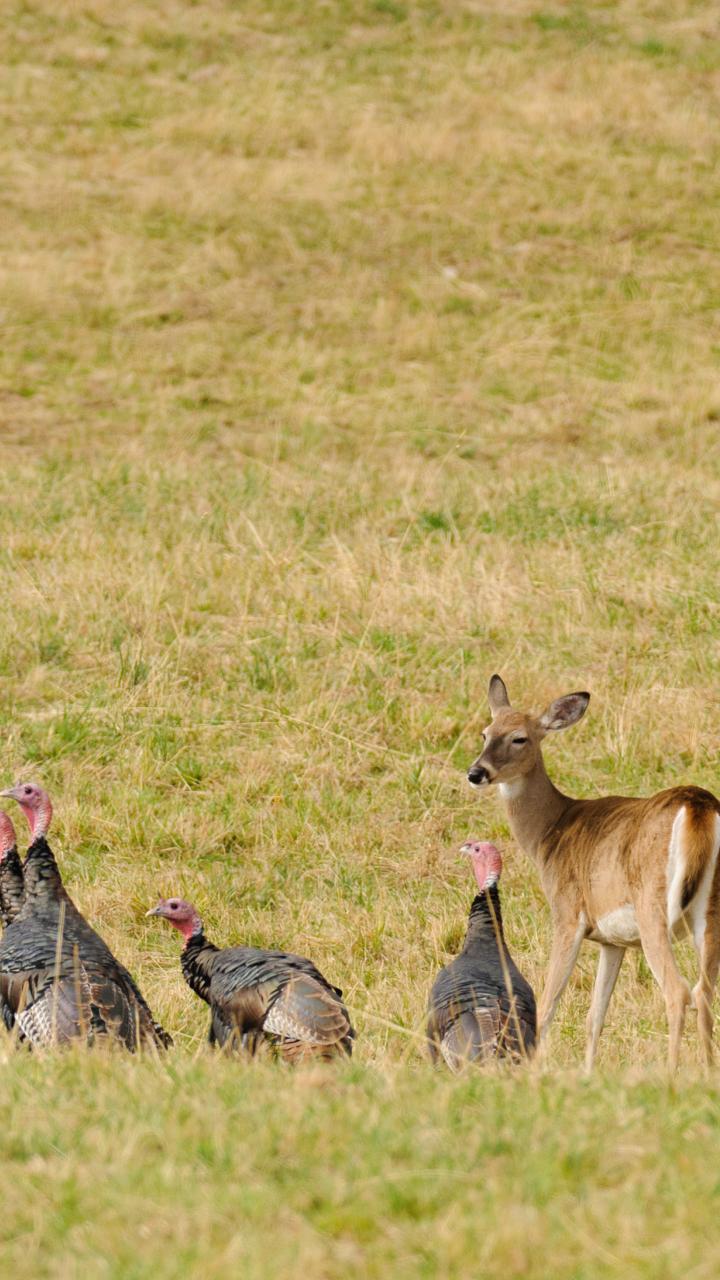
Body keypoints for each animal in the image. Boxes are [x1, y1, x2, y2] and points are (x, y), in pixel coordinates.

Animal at [467, 675, 720, 1072]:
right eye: (485, 733)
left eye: (519, 738)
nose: (476, 773)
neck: (551, 832)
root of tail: (699, 806)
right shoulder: (612, 940)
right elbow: (595, 1015)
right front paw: (587, 1072)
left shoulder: (568, 913)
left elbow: (548, 1003)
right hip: (711, 910)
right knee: (704, 992)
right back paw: (708, 1070)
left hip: (653, 906)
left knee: (678, 991)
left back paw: (672, 1072)